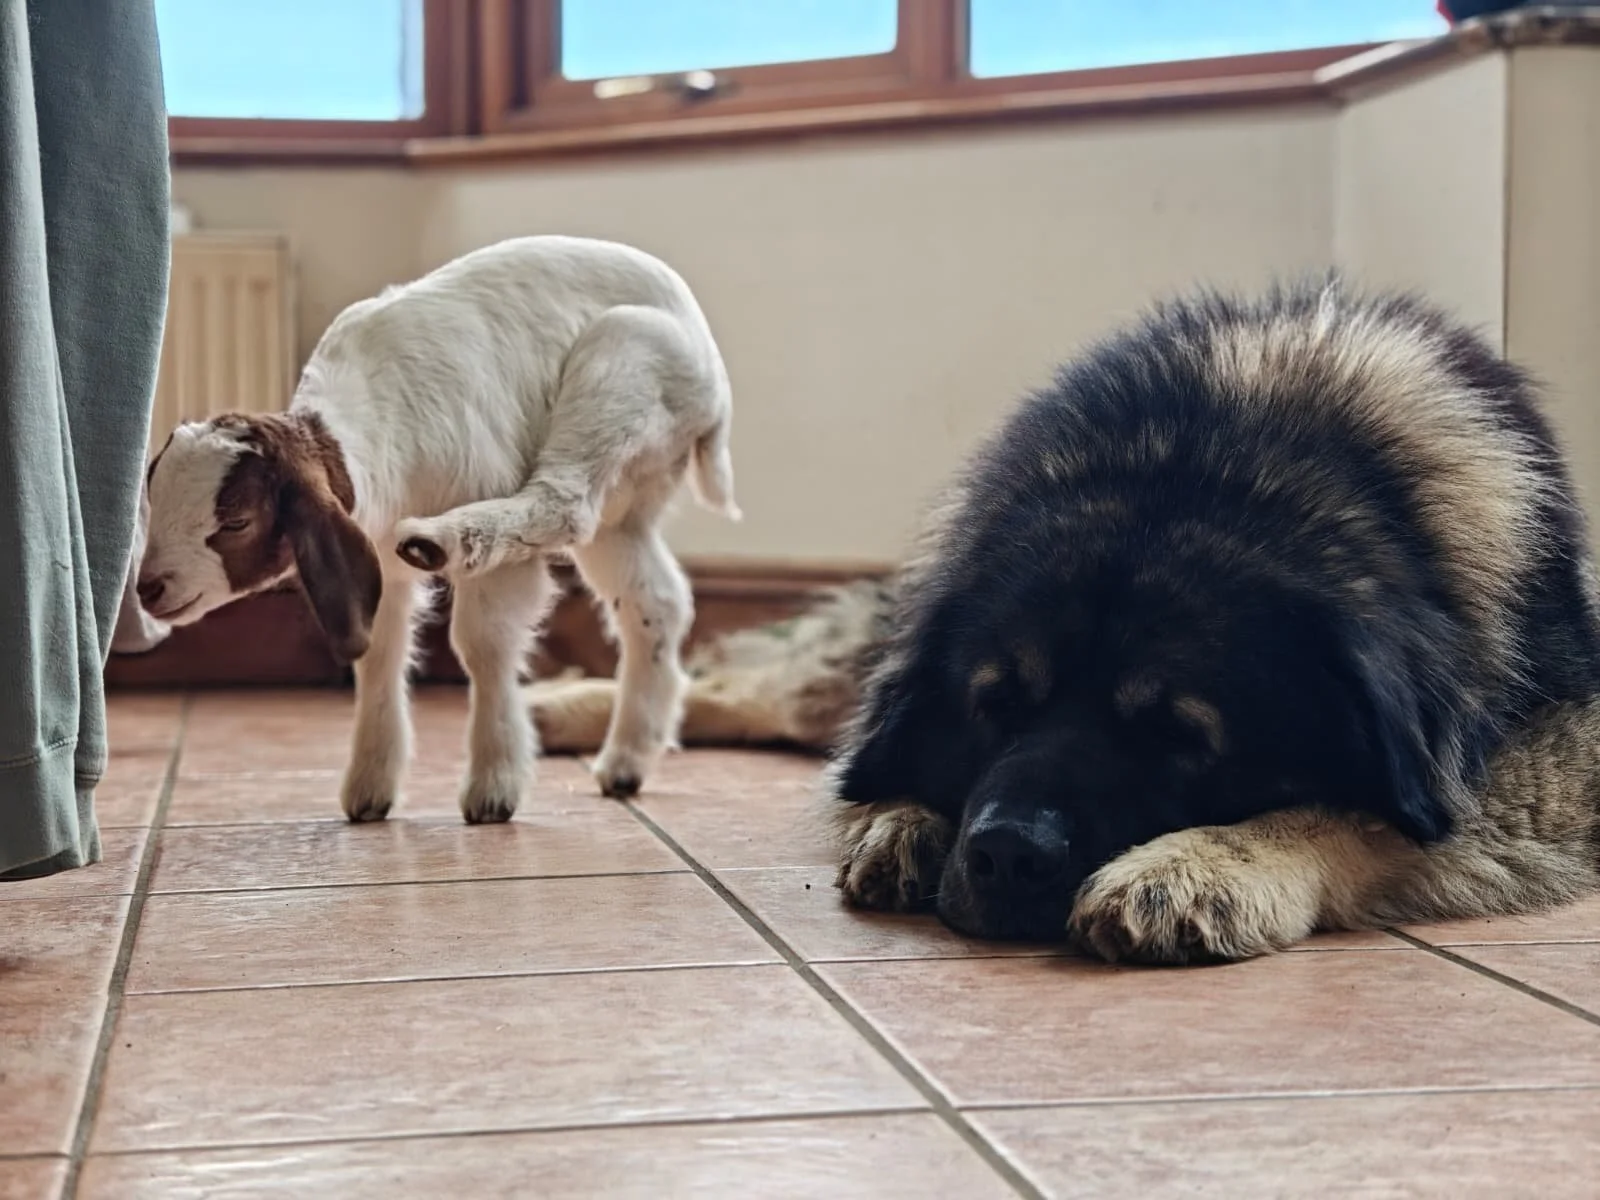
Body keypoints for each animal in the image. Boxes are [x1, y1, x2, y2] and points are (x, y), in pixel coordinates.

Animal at [140, 235, 740, 821]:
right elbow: (379, 652)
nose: (149, 588)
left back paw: (444, 540)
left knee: (563, 503)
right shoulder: (376, 563)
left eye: (237, 520)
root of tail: (710, 371)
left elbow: (484, 644)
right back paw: (626, 762)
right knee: (655, 600)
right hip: (627, 505)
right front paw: (370, 788)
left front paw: (493, 788)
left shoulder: (488, 530)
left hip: (620, 370)